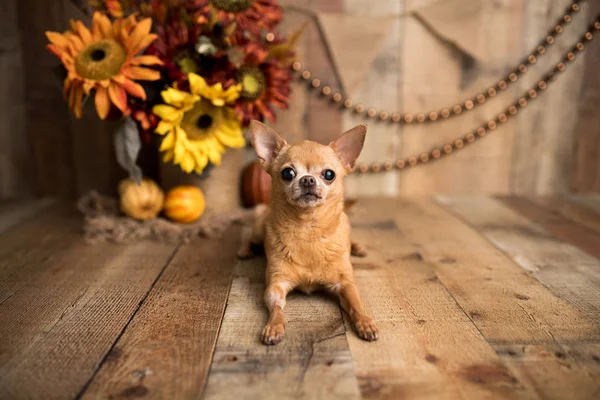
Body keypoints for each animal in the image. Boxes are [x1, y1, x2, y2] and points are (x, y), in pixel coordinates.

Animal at [237, 120, 378, 346]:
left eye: (329, 174)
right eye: (287, 173)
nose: (308, 180)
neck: (308, 229)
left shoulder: (346, 284)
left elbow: (357, 305)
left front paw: (365, 323)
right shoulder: (276, 285)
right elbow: (276, 308)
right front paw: (274, 326)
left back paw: (358, 248)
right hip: (259, 229)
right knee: (250, 236)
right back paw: (244, 250)